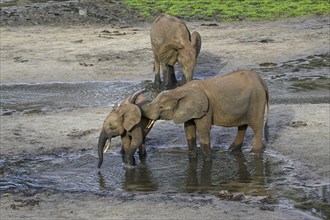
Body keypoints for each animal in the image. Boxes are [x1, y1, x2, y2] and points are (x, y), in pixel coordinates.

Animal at [141, 71, 270, 161]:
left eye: (161, 107)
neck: (178, 91)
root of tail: (261, 80)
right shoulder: (189, 110)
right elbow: (189, 130)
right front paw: (192, 158)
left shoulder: (205, 110)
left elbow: (203, 131)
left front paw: (208, 160)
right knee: (242, 126)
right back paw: (231, 151)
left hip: (256, 101)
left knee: (256, 127)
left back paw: (254, 153)